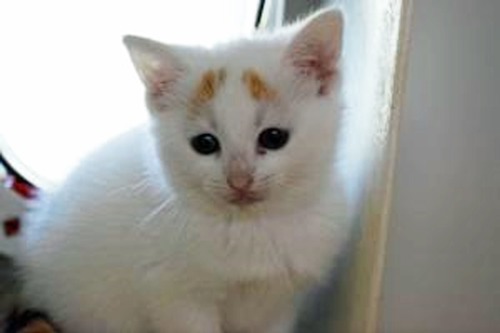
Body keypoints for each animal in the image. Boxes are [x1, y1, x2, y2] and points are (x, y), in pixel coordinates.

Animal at [18, 7, 348, 332]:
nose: (239, 180)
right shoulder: (176, 298)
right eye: (204, 143)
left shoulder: (280, 303)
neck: (250, 226)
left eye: (274, 137)